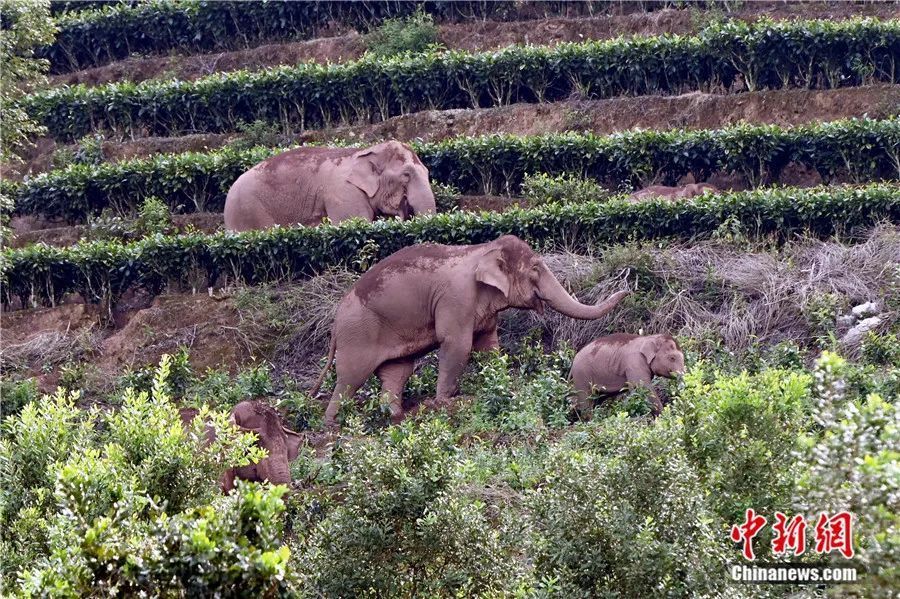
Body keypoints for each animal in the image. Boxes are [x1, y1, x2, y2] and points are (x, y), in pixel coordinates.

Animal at [312, 234, 628, 426]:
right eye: (536, 270)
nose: (627, 288)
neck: (483, 249)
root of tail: (336, 320)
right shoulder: (456, 298)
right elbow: (457, 345)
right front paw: (443, 403)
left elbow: (489, 348)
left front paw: (501, 386)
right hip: (359, 332)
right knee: (350, 379)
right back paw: (331, 426)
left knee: (396, 371)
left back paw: (395, 418)